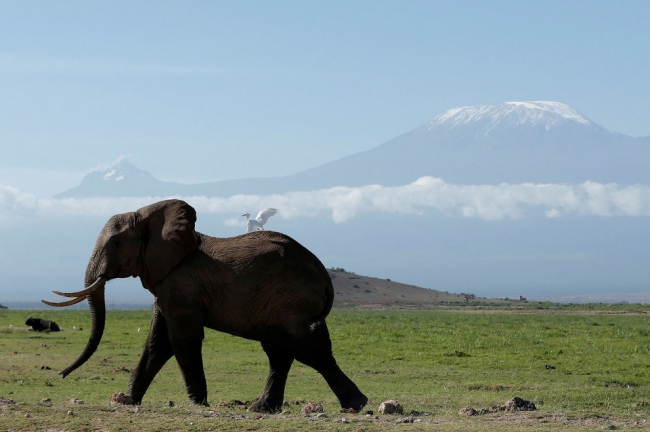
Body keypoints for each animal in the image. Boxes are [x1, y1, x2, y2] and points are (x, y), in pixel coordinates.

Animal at [43, 199, 368, 412]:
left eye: (114, 244)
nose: (61, 375)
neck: (149, 217)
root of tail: (323, 274)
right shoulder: (168, 284)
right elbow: (157, 342)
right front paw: (127, 401)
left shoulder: (181, 284)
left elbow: (181, 339)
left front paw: (198, 403)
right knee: (281, 351)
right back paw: (262, 408)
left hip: (293, 299)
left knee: (308, 348)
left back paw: (356, 405)